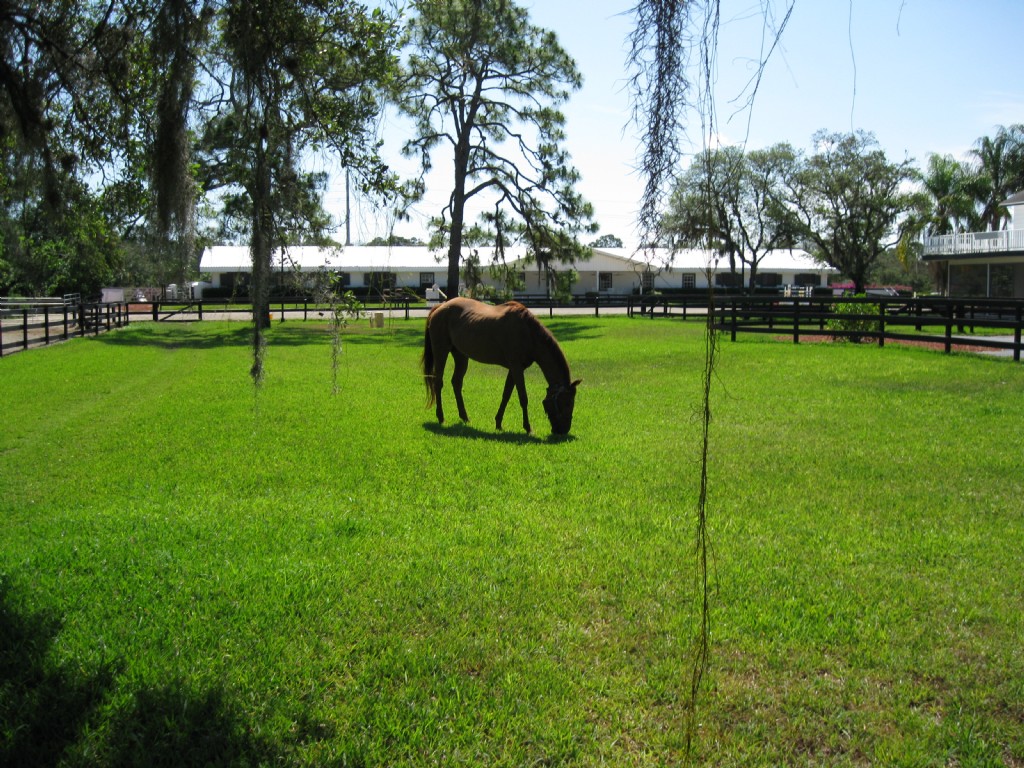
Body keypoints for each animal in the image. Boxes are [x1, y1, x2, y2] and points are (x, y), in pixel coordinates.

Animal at [422, 297, 581, 435]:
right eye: (567, 403)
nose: (563, 430)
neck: (528, 333)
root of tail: (440, 307)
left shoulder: (515, 369)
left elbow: (506, 395)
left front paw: (498, 423)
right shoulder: (516, 368)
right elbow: (523, 397)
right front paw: (528, 427)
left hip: (460, 355)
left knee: (456, 382)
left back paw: (465, 417)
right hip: (441, 351)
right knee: (438, 382)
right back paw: (441, 417)